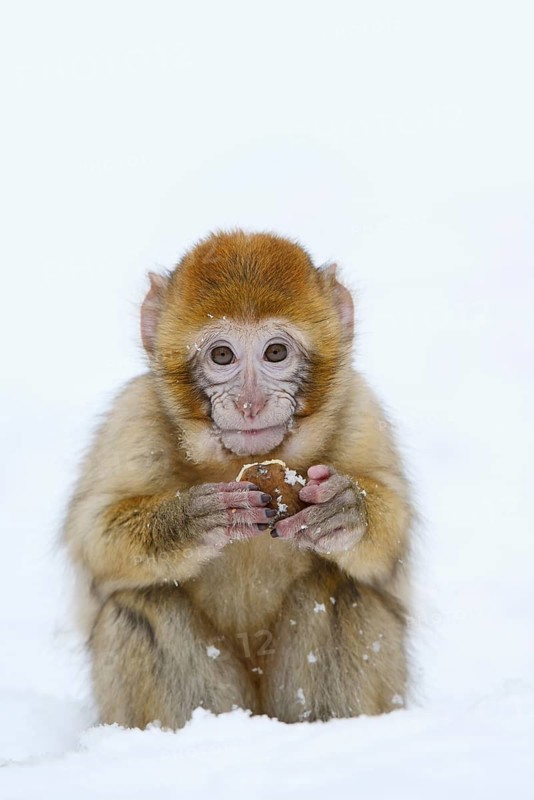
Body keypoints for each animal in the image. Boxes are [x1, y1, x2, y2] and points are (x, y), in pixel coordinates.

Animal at [63, 230, 413, 729]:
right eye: (223, 355)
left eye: (275, 352)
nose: (250, 403)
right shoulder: (134, 417)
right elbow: (94, 534)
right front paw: (190, 520)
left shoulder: (360, 409)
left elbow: (392, 544)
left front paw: (345, 510)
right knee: (142, 603)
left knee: (341, 589)